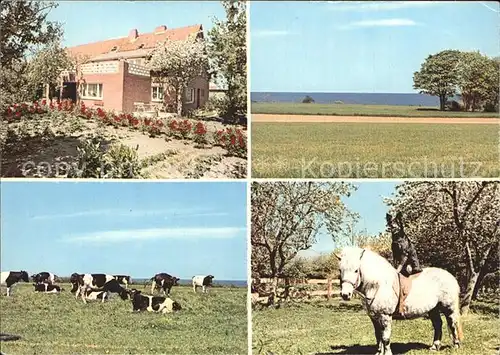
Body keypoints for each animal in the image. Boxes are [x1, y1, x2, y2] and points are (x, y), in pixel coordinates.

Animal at [336, 248, 464, 355]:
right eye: (340, 270)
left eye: (356, 270)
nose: (345, 294)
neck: (378, 285)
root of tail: (450, 276)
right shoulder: (374, 317)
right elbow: (378, 336)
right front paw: (379, 352)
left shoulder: (385, 316)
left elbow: (385, 337)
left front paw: (387, 353)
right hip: (433, 309)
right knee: (438, 324)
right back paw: (434, 347)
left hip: (449, 308)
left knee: (452, 324)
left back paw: (456, 345)